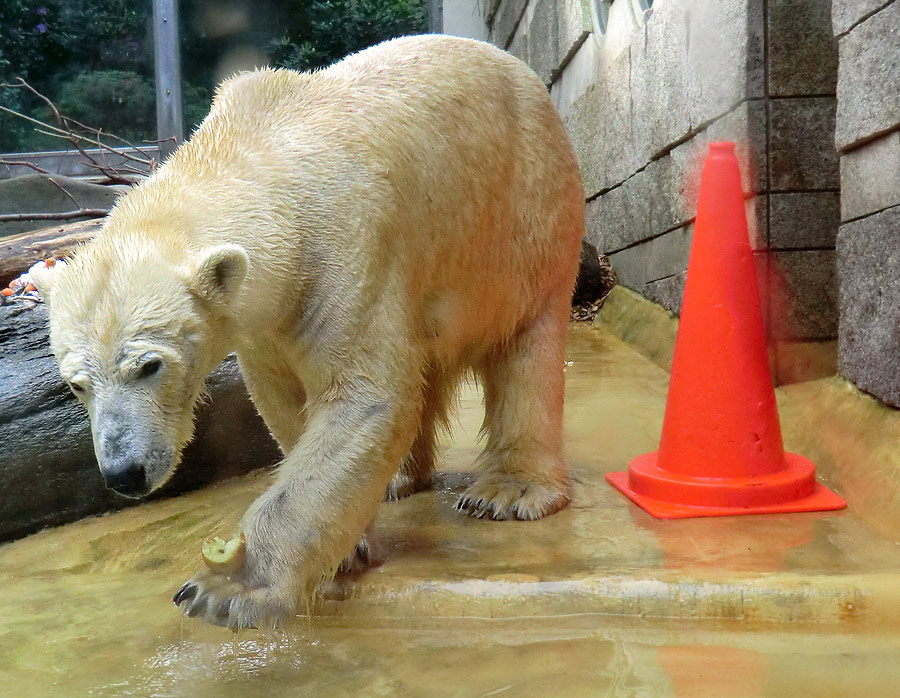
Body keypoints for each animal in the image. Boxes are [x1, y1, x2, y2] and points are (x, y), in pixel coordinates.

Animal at [31, 35, 584, 628]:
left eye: (150, 365)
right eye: (76, 385)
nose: (124, 473)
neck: (258, 150)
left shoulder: (345, 250)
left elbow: (363, 399)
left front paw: (229, 588)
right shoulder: (263, 321)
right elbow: (287, 403)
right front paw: (347, 545)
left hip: (524, 220)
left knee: (526, 347)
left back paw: (508, 491)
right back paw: (397, 480)